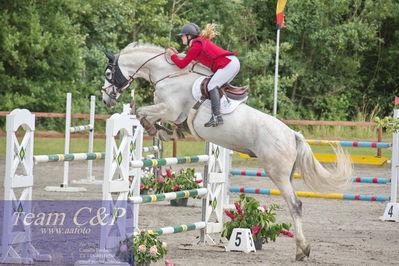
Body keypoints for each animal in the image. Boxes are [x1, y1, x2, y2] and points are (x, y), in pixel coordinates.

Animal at [101, 42, 352, 260]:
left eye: (108, 73)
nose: (105, 99)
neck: (169, 75)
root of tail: (292, 135)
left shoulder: (169, 110)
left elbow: (143, 112)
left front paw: (154, 127)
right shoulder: (171, 114)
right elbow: (154, 120)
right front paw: (164, 132)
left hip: (276, 172)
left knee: (295, 205)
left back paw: (302, 250)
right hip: (286, 173)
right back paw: (301, 249)